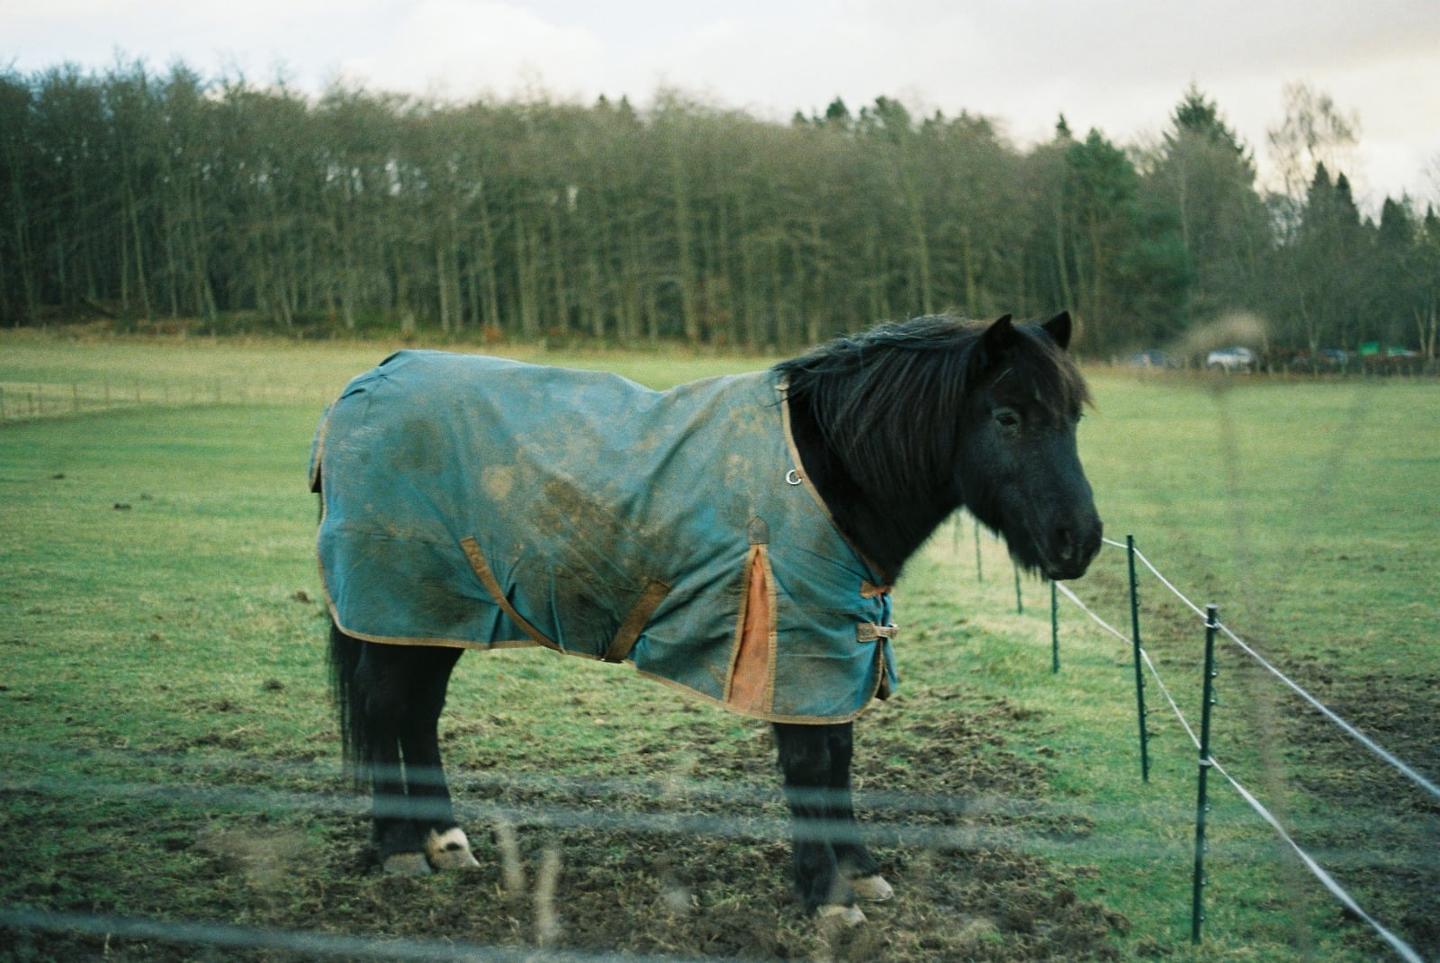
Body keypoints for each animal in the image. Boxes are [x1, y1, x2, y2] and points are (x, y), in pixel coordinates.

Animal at [316, 311, 1102, 924]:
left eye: (1071, 418)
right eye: (1008, 417)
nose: (1081, 541)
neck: (826, 471)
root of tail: (366, 384)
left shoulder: (837, 646)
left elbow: (839, 756)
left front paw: (860, 869)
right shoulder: (798, 647)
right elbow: (811, 764)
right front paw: (829, 896)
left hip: (434, 615)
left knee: (416, 712)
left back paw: (446, 841)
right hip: (400, 607)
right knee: (387, 707)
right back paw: (399, 849)